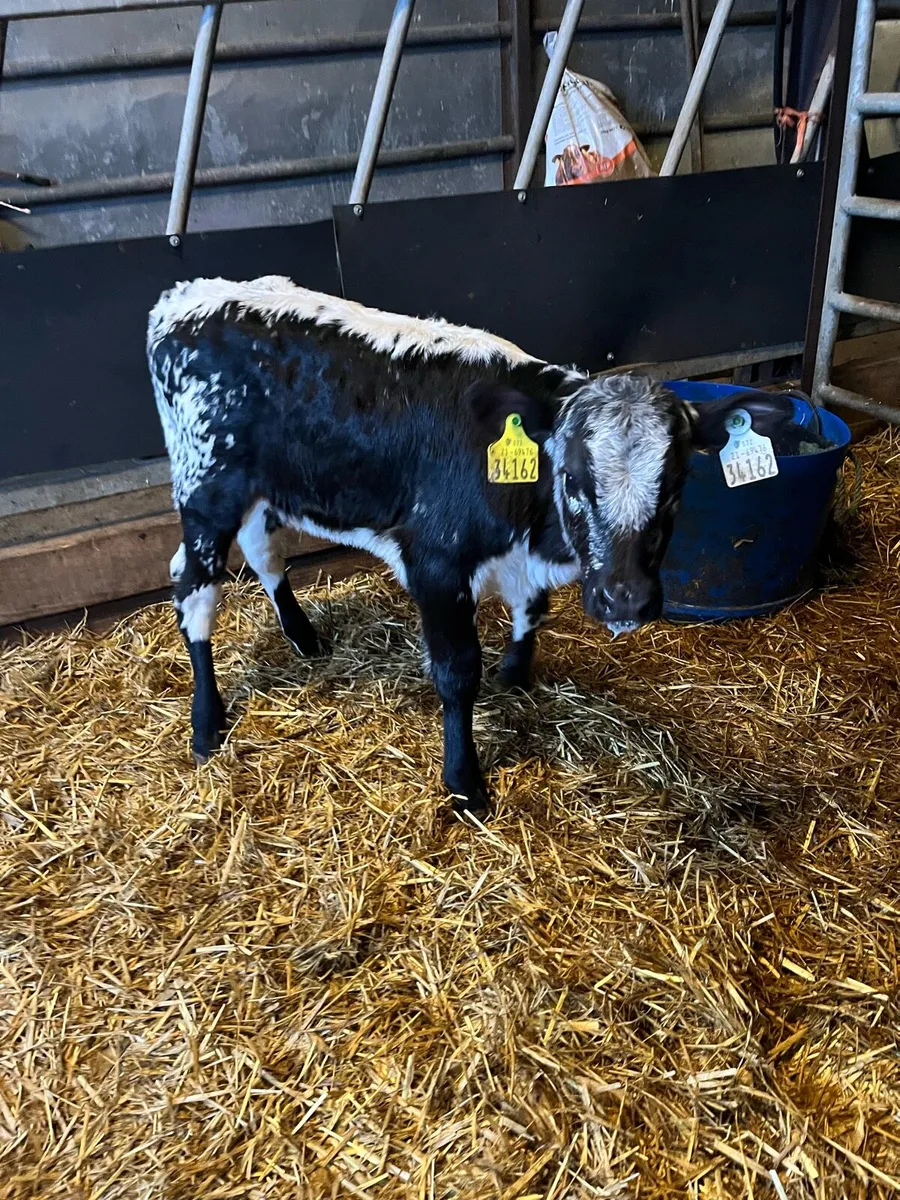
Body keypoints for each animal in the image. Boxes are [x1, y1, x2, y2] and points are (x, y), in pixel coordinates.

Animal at [147, 276, 788, 815]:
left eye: (678, 483)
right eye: (573, 479)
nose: (624, 600)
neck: (533, 527)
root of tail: (184, 297)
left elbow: (532, 612)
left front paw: (516, 675)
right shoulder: (436, 563)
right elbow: (456, 672)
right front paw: (464, 781)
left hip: (258, 485)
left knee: (262, 551)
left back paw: (304, 637)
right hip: (205, 484)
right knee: (193, 585)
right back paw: (206, 724)